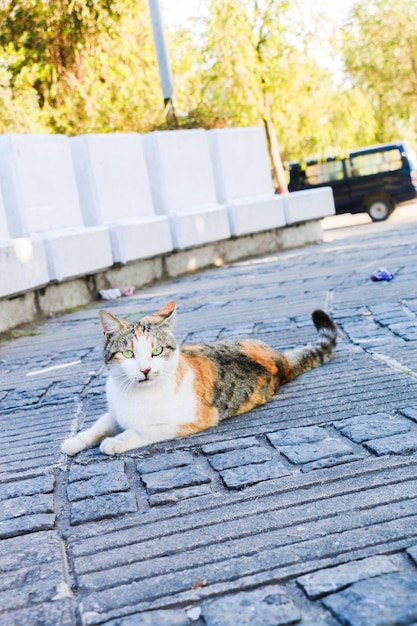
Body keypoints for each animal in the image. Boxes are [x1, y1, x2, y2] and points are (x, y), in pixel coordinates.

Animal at [61, 298, 334, 454]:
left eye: (157, 351)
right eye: (128, 353)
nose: (145, 370)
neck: (137, 395)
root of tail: (279, 358)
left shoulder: (192, 419)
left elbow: (144, 430)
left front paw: (115, 442)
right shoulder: (116, 411)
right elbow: (97, 426)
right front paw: (73, 442)